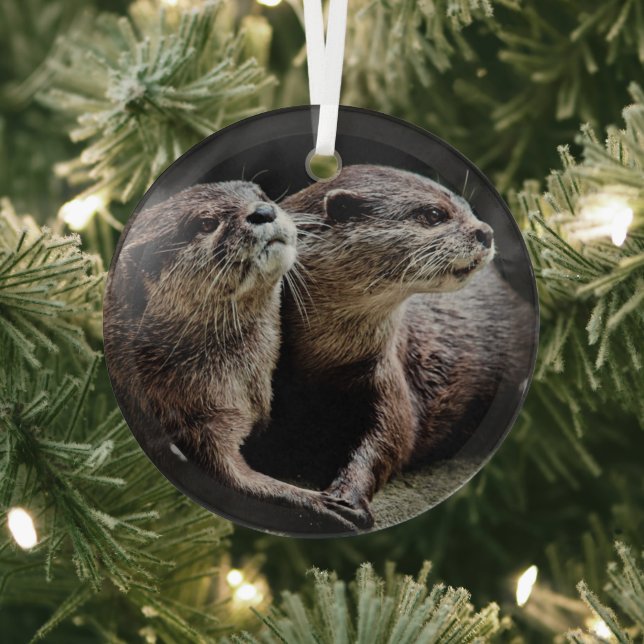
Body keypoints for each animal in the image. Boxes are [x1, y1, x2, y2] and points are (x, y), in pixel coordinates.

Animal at [104, 181, 363, 531]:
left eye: (260, 195)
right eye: (205, 223)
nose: (264, 211)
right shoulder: (188, 419)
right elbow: (232, 479)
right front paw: (321, 503)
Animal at [243, 165, 533, 528]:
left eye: (469, 208)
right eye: (434, 214)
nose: (486, 232)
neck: (321, 362)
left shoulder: (387, 374)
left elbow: (391, 439)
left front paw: (347, 498)